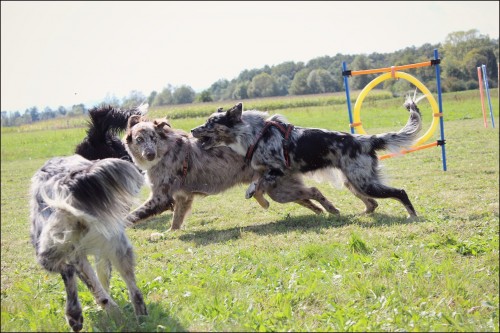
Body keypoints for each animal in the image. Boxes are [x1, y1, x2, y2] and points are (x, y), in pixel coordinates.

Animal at [124, 115, 340, 230]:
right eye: (139, 139)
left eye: (152, 137)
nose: (149, 154)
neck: (165, 151)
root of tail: (284, 145)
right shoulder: (183, 197)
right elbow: (176, 220)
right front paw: (171, 233)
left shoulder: (161, 197)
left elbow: (132, 216)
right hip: (280, 191)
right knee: (308, 195)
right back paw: (322, 212)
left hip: (279, 189)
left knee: (314, 191)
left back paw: (332, 210)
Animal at [190, 95, 422, 218]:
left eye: (210, 123)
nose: (192, 130)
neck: (253, 133)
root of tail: (364, 140)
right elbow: (261, 183)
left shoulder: (278, 169)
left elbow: (258, 184)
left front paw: (254, 193)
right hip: (352, 182)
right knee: (373, 204)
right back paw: (359, 214)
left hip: (364, 182)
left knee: (400, 192)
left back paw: (412, 215)